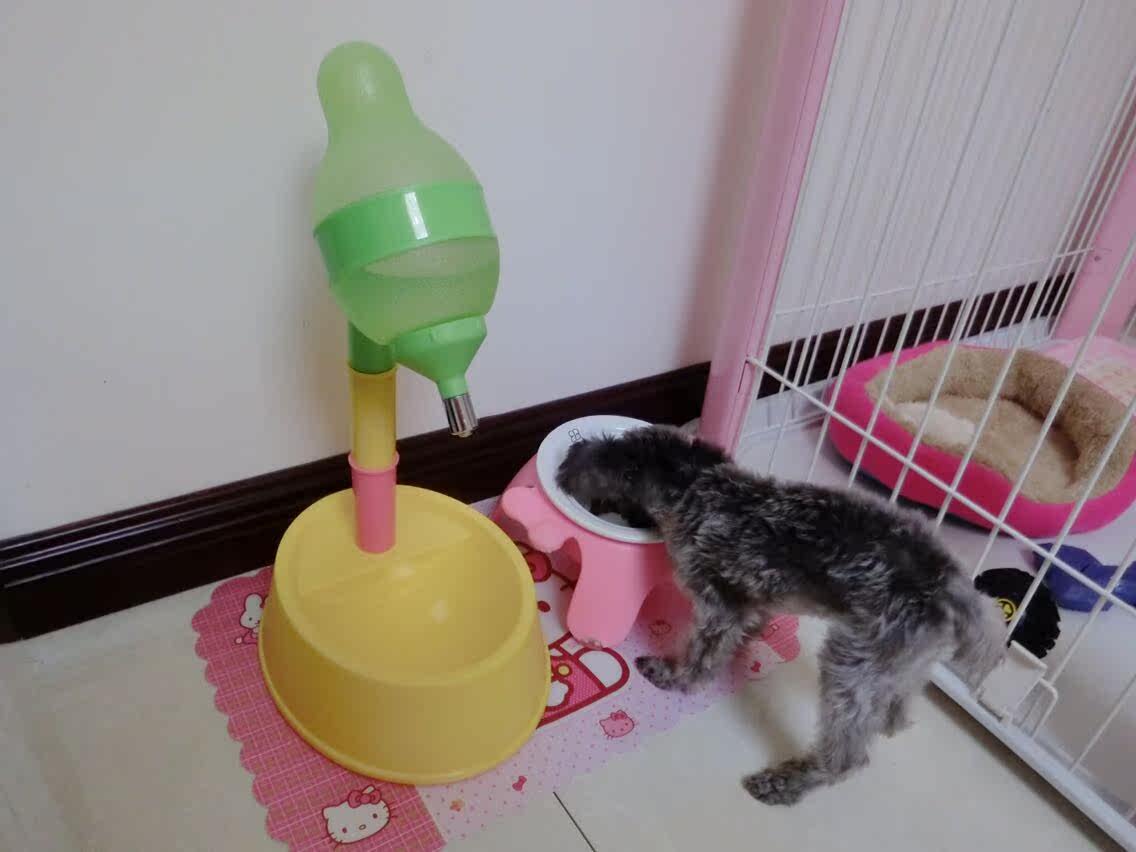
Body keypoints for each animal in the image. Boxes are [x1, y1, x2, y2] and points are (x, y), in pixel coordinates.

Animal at [556, 426, 1005, 805]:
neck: (699, 483)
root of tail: (947, 583)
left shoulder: (718, 604)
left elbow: (700, 658)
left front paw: (673, 676)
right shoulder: (752, 600)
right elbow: (749, 627)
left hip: (851, 664)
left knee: (846, 759)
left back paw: (785, 783)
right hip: (903, 662)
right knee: (899, 700)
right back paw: (890, 719)